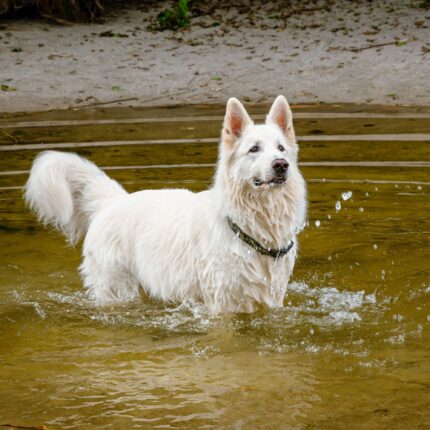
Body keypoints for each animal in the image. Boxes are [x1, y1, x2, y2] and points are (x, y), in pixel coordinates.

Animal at [25, 96, 307, 313]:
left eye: (281, 148)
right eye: (254, 149)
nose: (281, 165)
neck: (253, 226)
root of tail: (113, 202)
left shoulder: (270, 301)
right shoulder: (221, 305)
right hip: (120, 290)